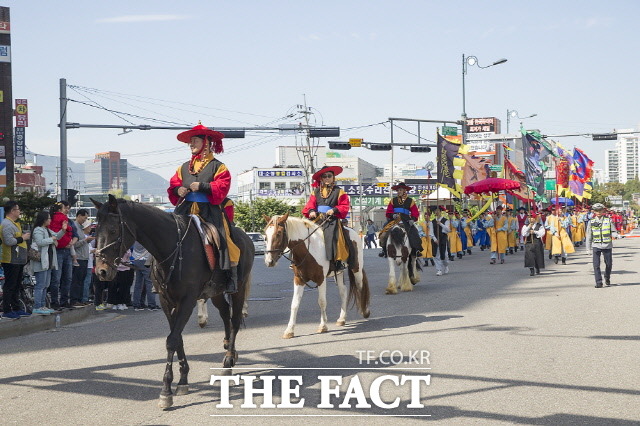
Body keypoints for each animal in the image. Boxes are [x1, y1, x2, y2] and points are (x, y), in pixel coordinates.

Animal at [92, 196, 252, 410]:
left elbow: (172, 340)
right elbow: (178, 338)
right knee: (225, 313)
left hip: (238, 288)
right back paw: (229, 350)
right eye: (95, 231)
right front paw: (183, 380)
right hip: (216, 292)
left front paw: (166, 390)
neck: (171, 249)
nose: (101, 271)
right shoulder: (166, 301)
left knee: (234, 320)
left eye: (112, 230)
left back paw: (228, 362)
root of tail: (245, 236)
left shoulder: (187, 301)